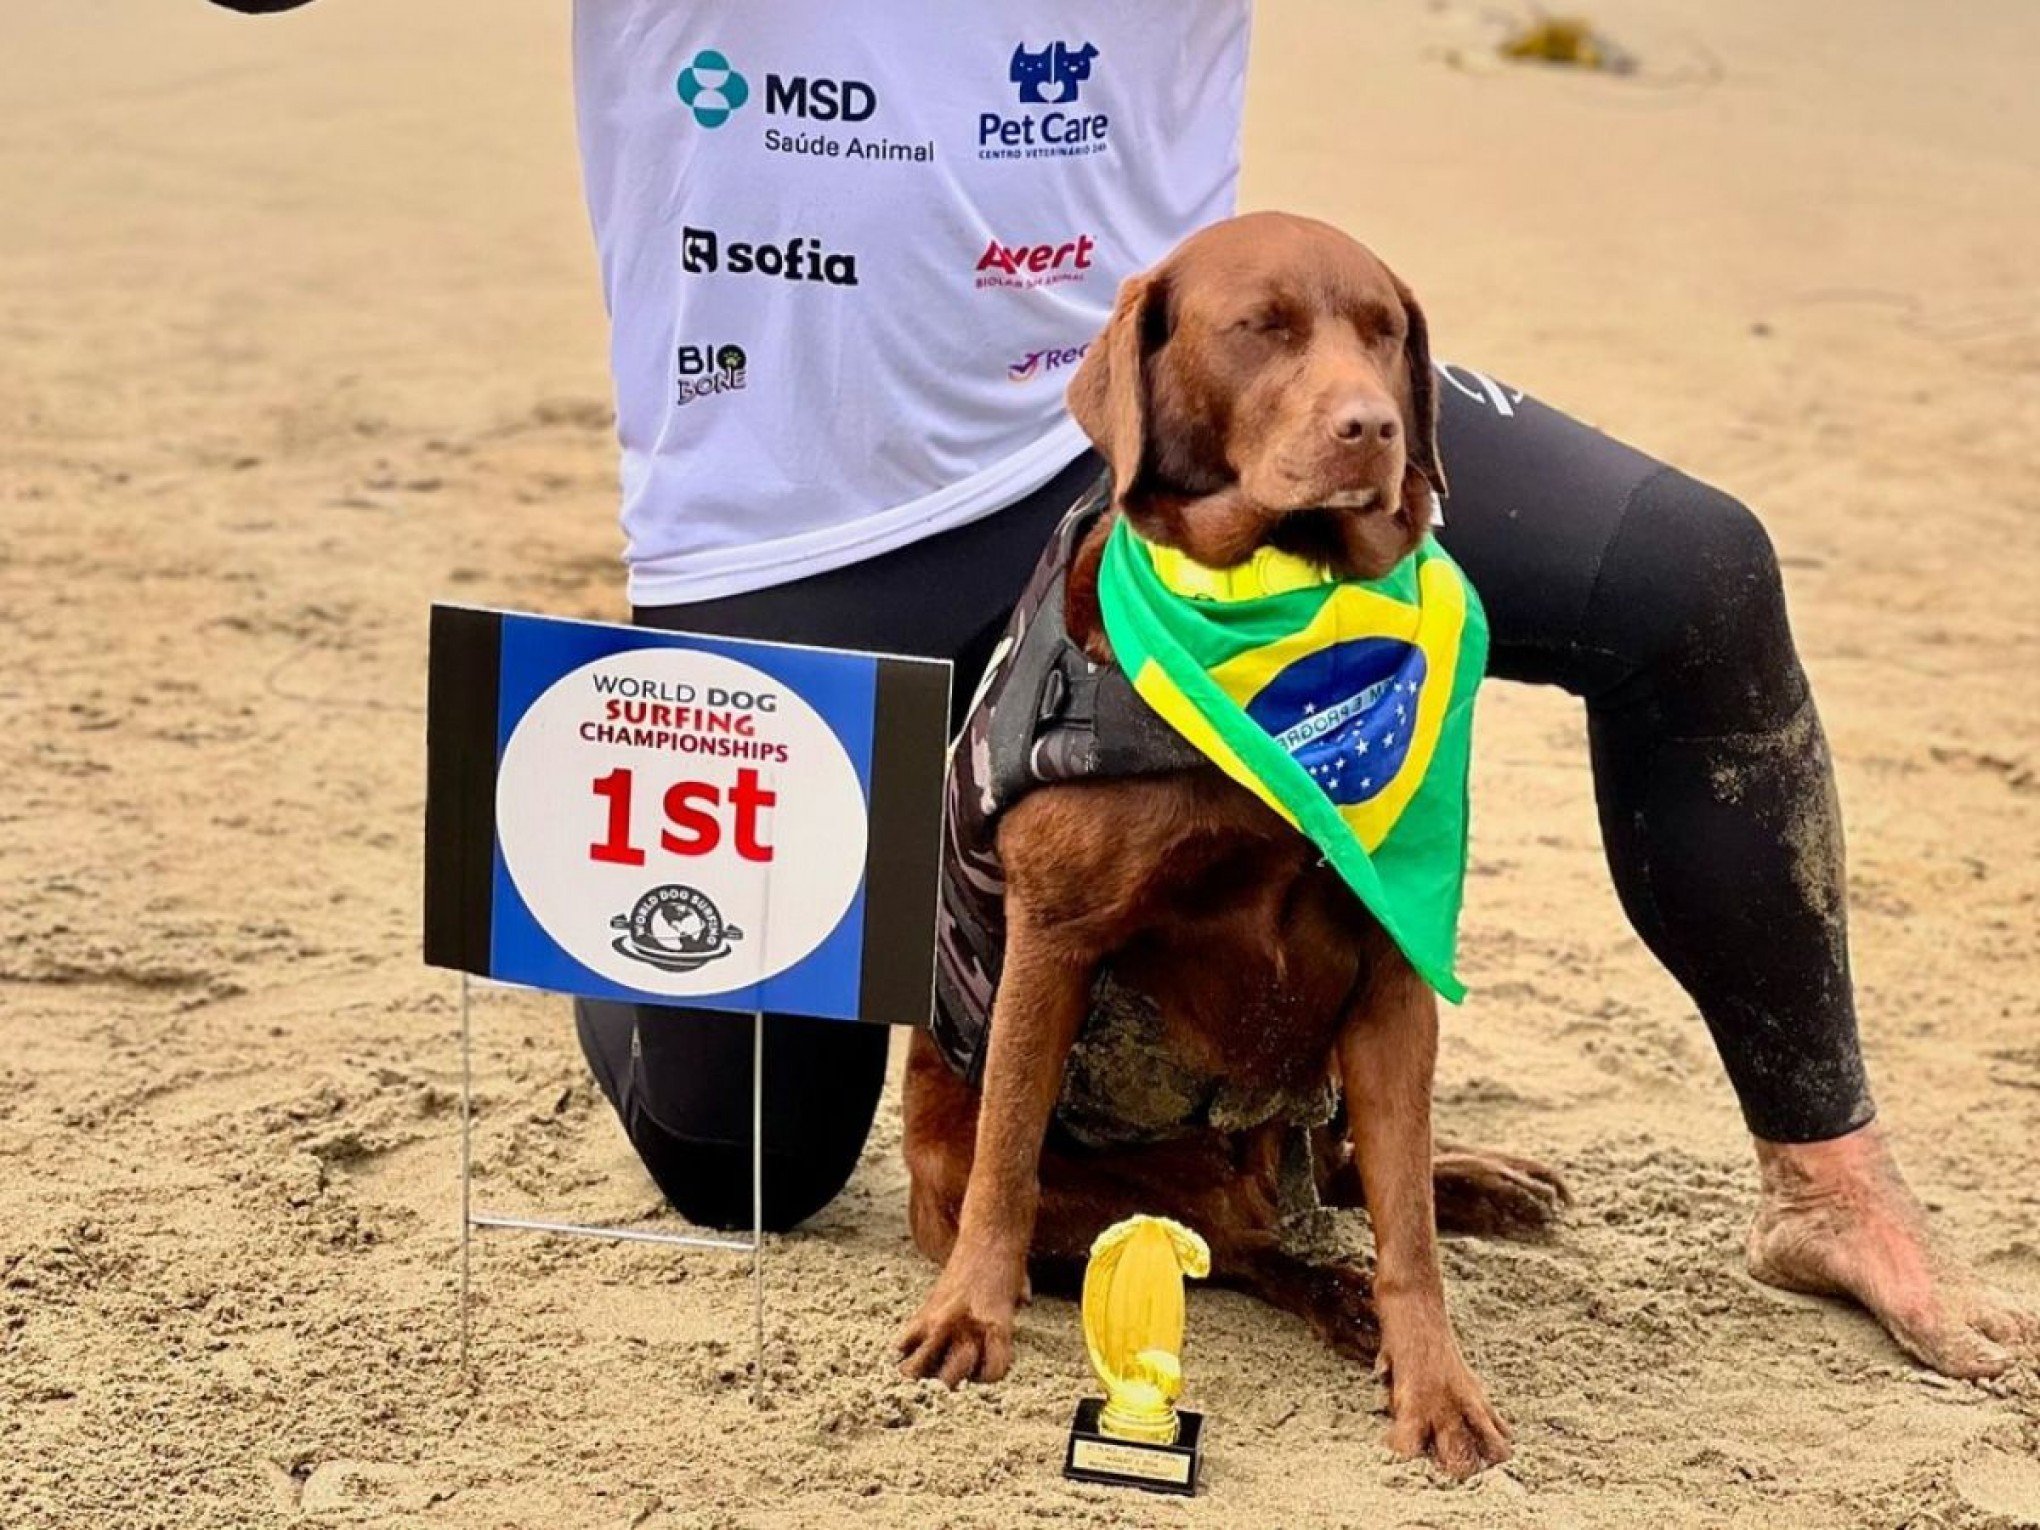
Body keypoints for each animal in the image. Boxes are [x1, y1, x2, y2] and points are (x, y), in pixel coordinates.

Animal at [893, 216, 1558, 1485]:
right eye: (1263, 328)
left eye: (1385, 333)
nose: (1374, 429)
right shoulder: (1053, 938)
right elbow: (1009, 1157)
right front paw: (968, 1318)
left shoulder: (1394, 975)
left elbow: (1409, 1228)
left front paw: (1439, 1388)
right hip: (1031, 1167)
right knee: (1245, 1239)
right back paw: (1333, 1291)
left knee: (1349, 1175)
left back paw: (1474, 1190)